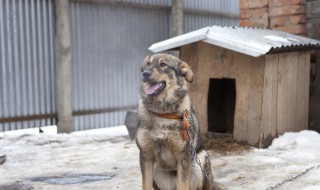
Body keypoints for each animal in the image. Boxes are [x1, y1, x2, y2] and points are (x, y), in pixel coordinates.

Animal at [136, 53, 226, 190]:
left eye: (163, 64)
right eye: (148, 64)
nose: (145, 73)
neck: (162, 114)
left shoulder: (183, 156)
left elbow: (183, 185)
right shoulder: (146, 156)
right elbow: (145, 185)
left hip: (200, 160)